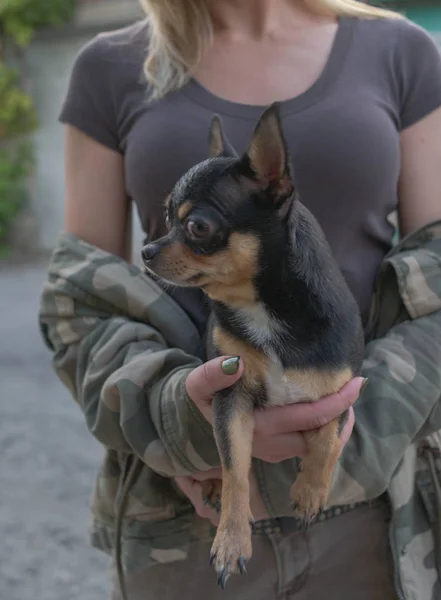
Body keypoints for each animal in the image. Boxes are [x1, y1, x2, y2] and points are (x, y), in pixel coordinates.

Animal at [142, 103, 364, 584]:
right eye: (166, 218)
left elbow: (328, 441)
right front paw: (231, 540)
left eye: (196, 226)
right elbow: (235, 468)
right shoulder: (230, 394)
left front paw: (309, 491)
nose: (147, 250)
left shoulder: (340, 392)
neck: (262, 309)